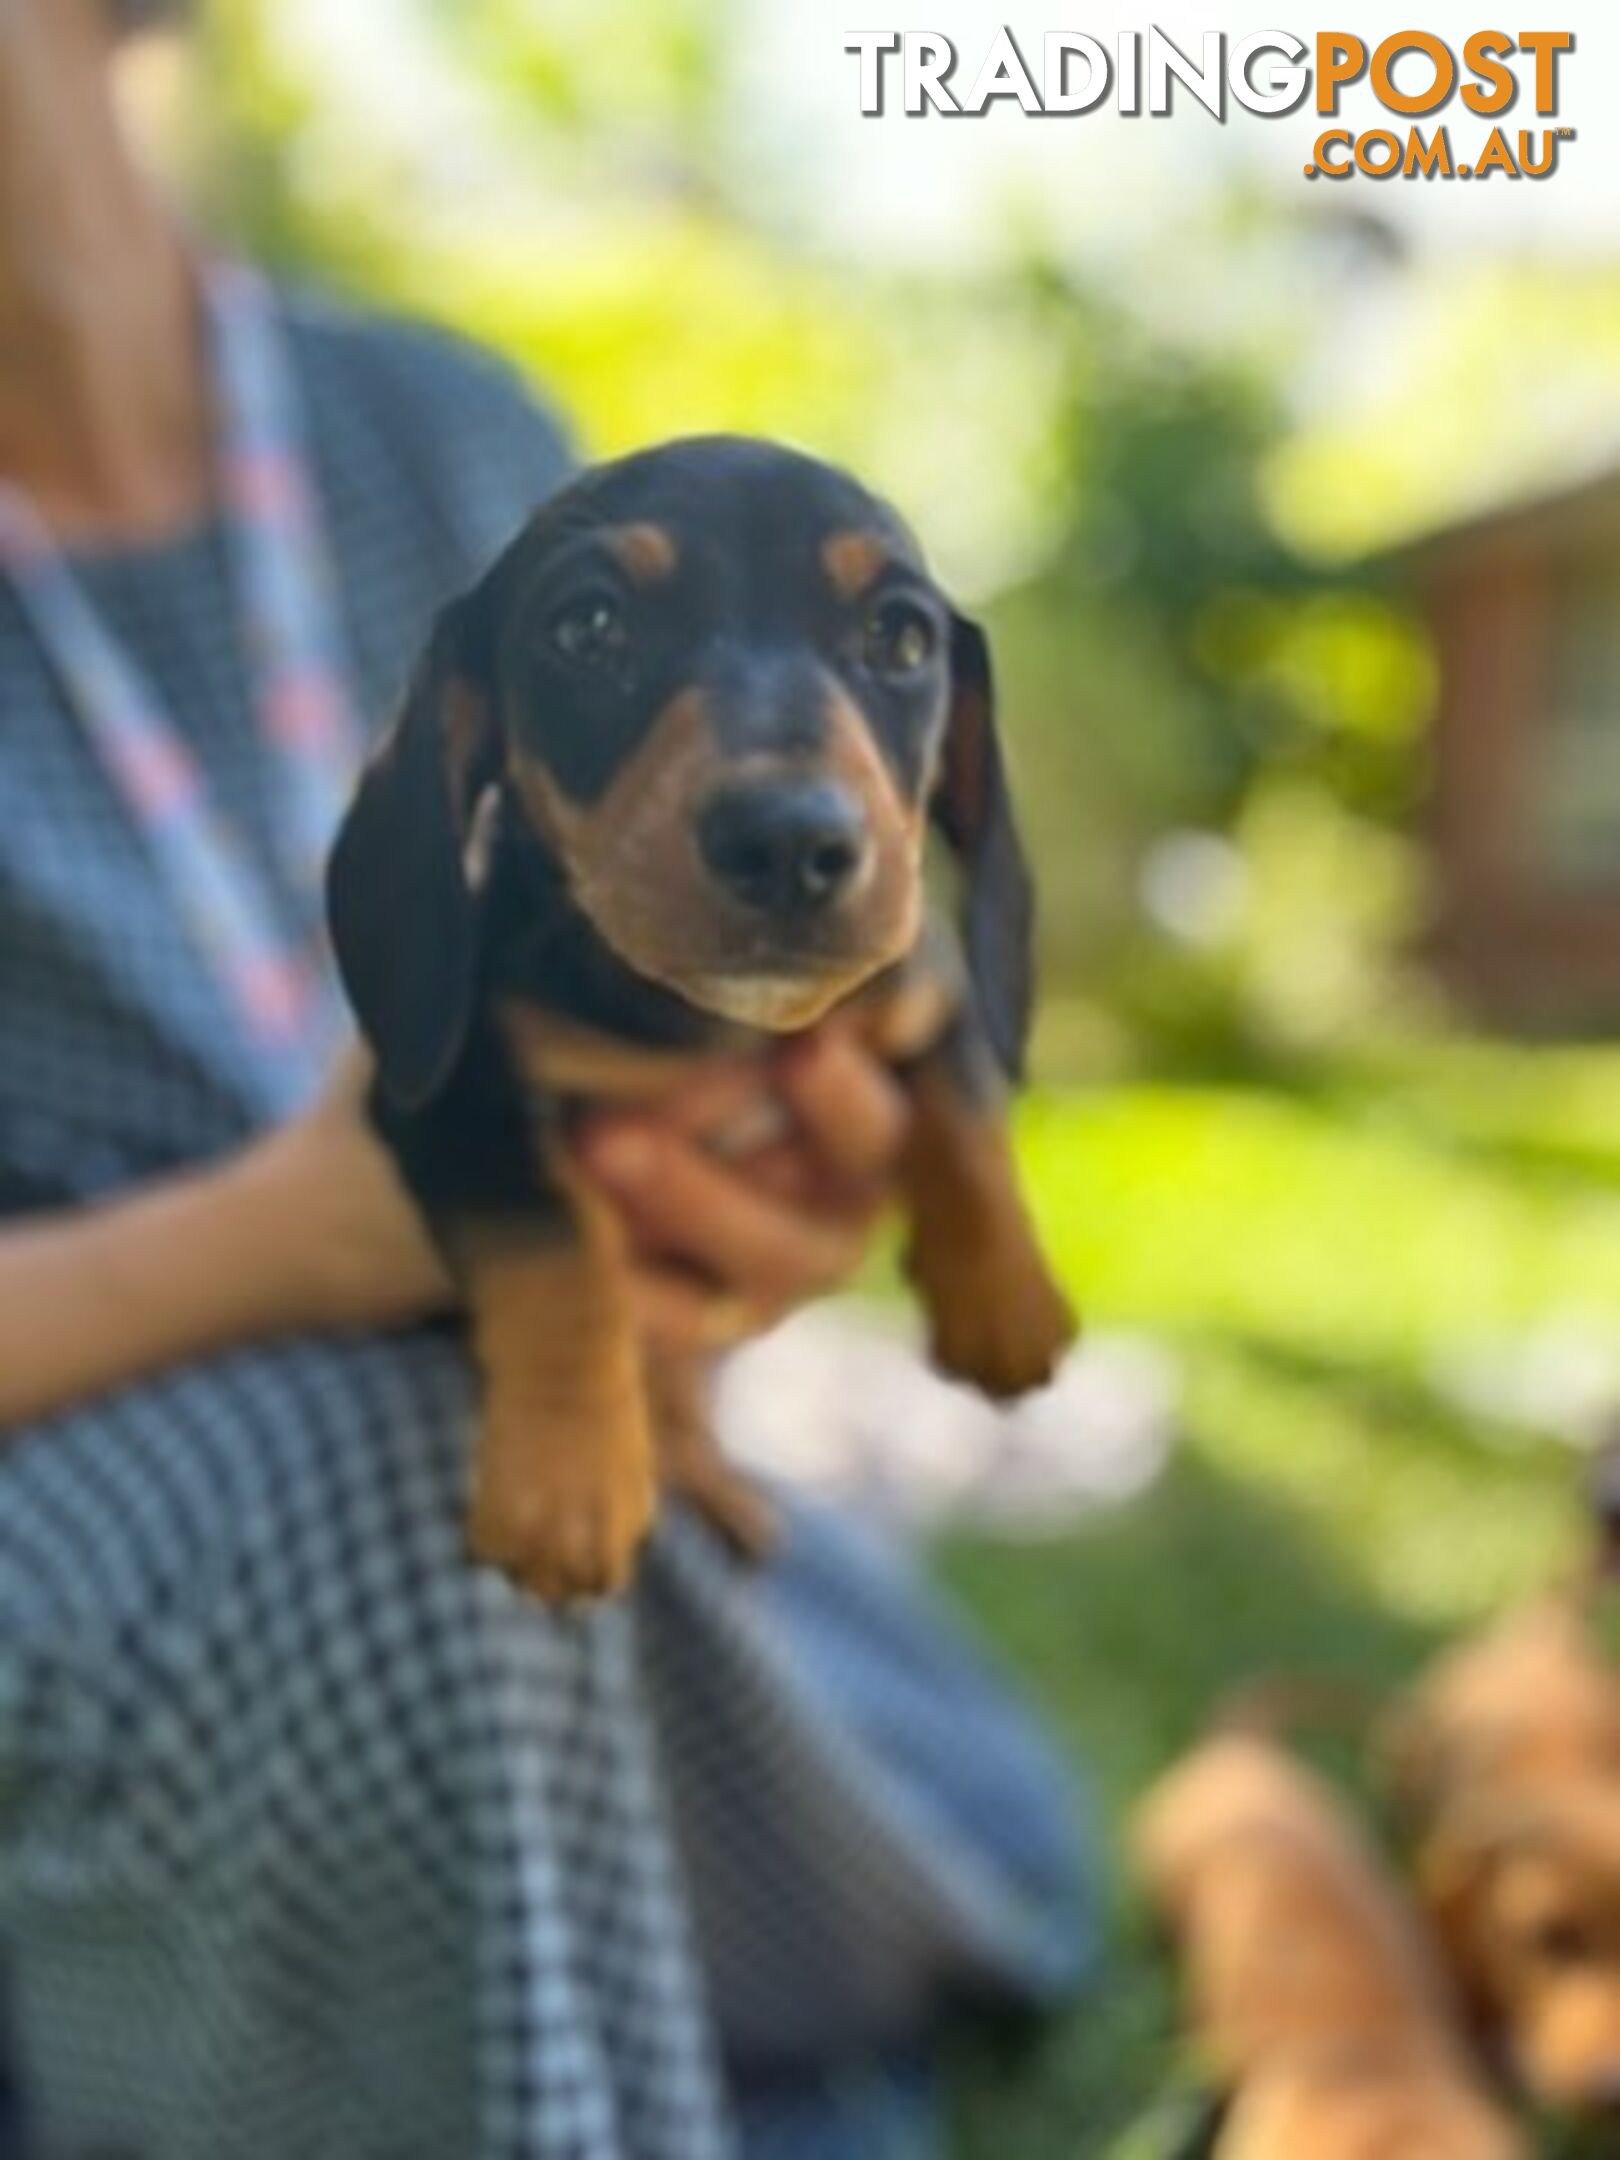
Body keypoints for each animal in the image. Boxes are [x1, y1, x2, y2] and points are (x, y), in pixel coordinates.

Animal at [326, 429, 1080, 1598]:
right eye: (588, 627)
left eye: (901, 637)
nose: (789, 842)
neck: (718, 1024)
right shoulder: (460, 1109)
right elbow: (561, 1256)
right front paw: (566, 1483)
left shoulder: (927, 989)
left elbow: (964, 1120)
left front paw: (1004, 1296)